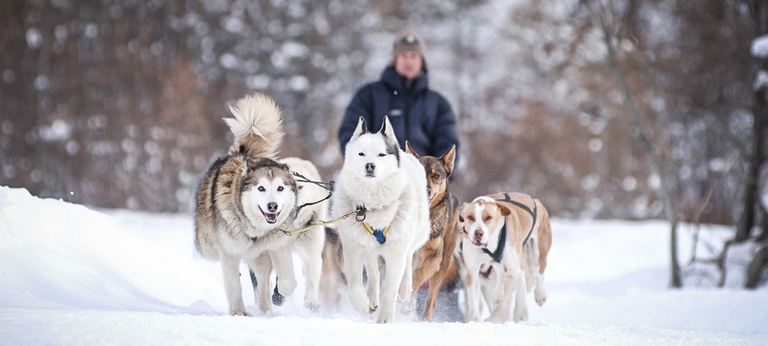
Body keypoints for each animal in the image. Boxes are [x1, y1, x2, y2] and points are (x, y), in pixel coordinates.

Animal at [404, 143, 460, 322]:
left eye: (436, 176)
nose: (426, 190)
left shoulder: (434, 258)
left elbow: (417, 278)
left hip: (443, 265)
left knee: (432, 299)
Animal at [456, 193, 552, 324]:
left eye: (488, 217)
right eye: (470, 217)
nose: (478, 233)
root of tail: (534, 199)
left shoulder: (516, 269)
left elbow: (521, 301)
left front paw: (522, 320)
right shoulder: (472, 271)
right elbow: (474, 302)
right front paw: (474, 321)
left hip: (538, 251)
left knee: (539, 271)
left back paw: (540, 295)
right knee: (501, 273)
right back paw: (498, 295)